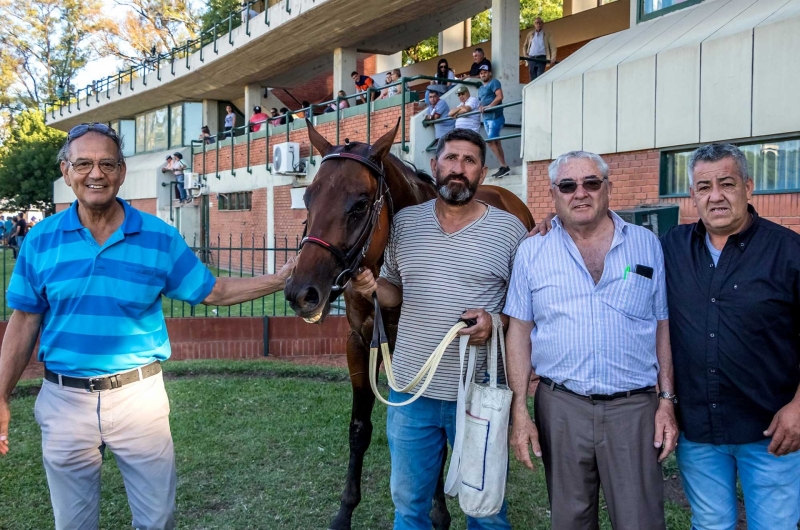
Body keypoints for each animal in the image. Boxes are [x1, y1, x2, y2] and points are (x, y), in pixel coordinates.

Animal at [284, 119, 536, 528]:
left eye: (359, 204)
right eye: (308, 198)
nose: (300, 292)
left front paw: (439, 512)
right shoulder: (358, 344)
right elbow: (359, 429)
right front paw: (344, 511)